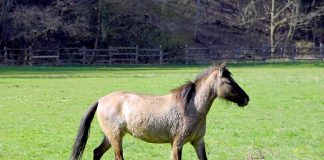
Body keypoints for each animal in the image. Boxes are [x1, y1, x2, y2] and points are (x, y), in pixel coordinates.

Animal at [69, 63, 249, 159]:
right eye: (229, 82)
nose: (246, 99)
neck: (191, 107)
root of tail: (100, 100)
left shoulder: (198, 141)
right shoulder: (177, 144)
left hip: (110, 136)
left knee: (97, 152)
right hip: (115, 137)